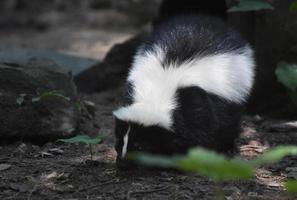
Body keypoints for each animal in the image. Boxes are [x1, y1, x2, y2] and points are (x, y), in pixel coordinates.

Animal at [112, 14, 253, 167]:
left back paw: (228, 148)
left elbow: (199, 134)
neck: (157, 90)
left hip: (233, 97)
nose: (122, 163)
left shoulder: (195, 103)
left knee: (230, 124)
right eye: (119, 141)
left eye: (140, 146)